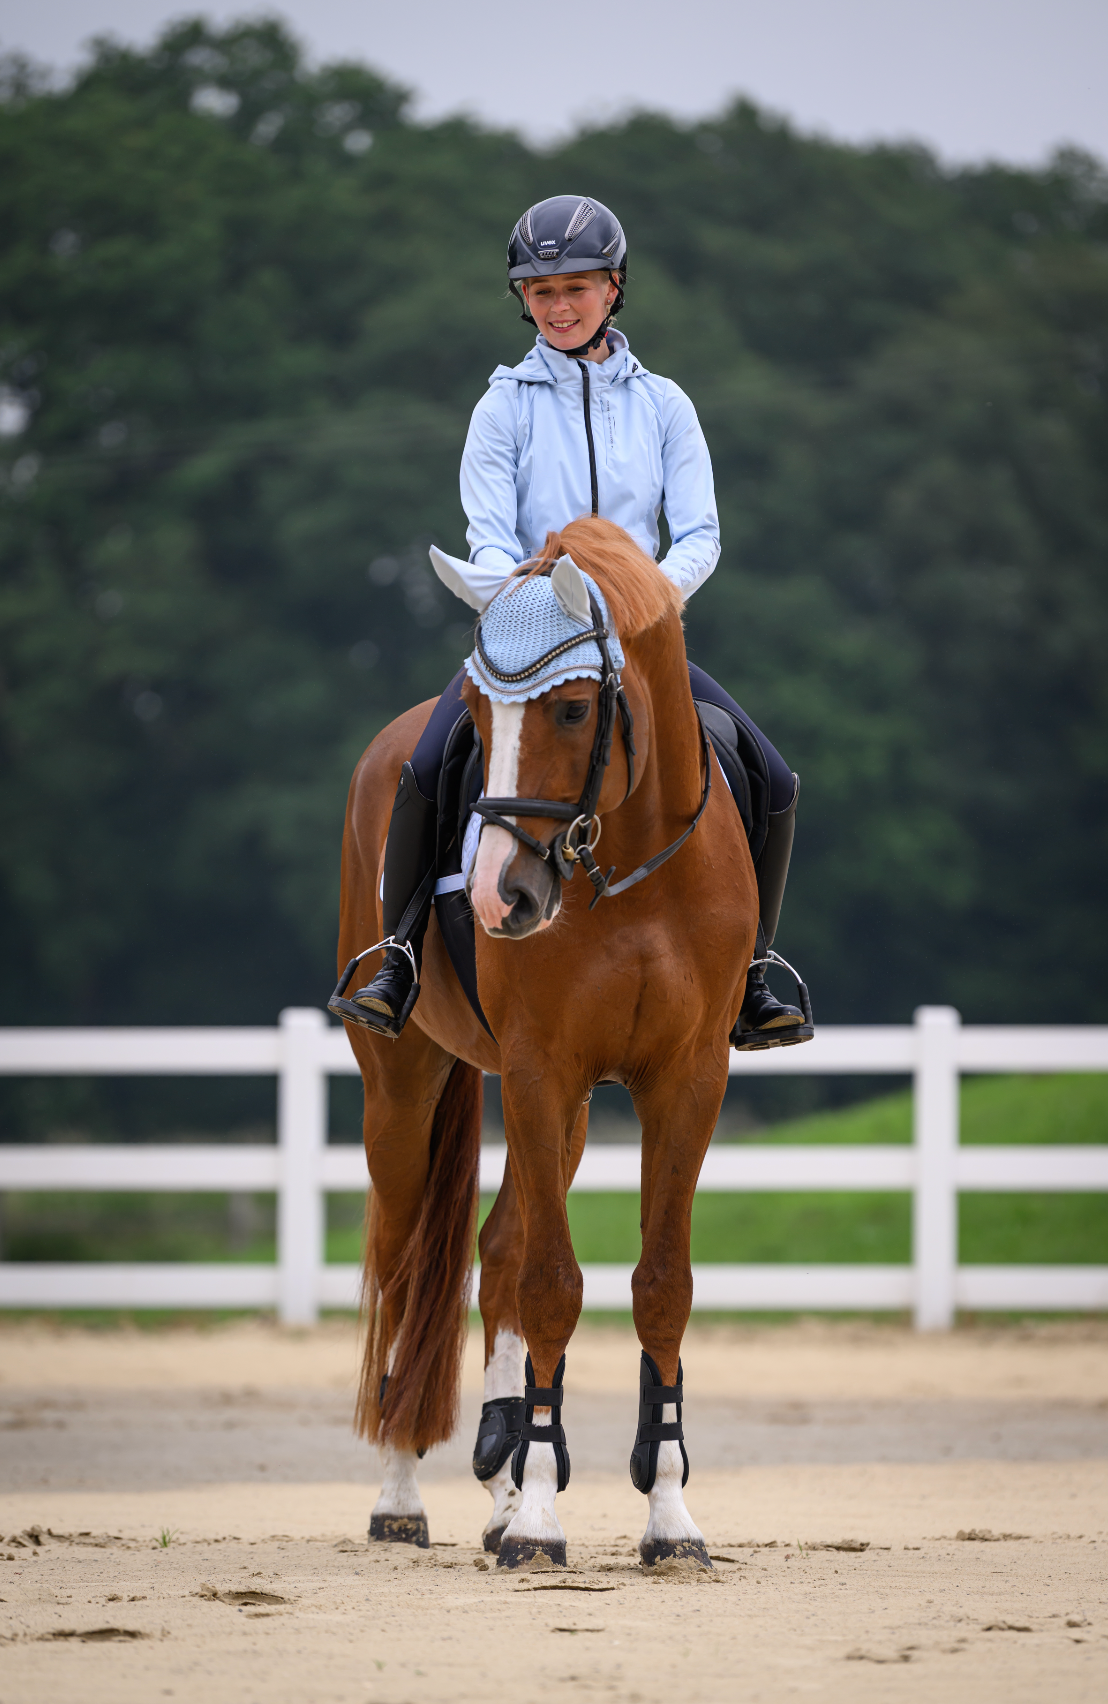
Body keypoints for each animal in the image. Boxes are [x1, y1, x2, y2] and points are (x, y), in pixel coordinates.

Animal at [334, 515, 757, 1569]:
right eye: (481, 721)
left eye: (572, 710)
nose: (499, 899)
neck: (628, 871)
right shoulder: (538, 1070)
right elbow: (554, 1286)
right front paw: (538, 1519)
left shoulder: (687, 1079)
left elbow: (659, 1285)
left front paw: (668, 1517)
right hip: (404, 1083)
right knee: (410, 1268)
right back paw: (403, 1495)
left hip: (562, 1116)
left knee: (495, 1252)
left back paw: (497, 1480)